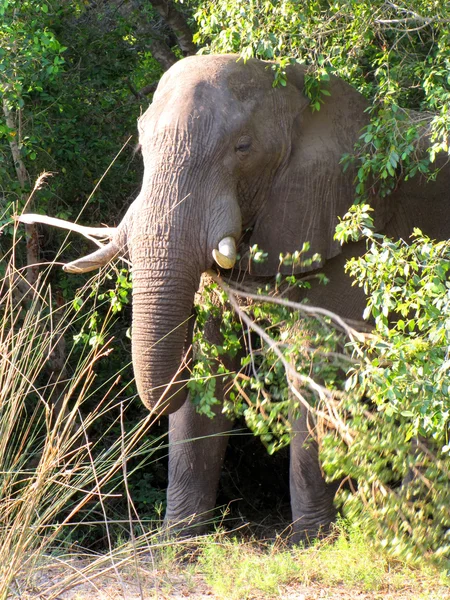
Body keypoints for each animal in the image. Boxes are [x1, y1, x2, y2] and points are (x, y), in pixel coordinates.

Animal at [59, 55, 450, 544]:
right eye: (141, 146)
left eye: (243, 148)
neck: (301, 92)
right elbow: (210, 361)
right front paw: (178, 542)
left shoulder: (344, 227)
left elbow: (314, 365)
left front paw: (309, 541)